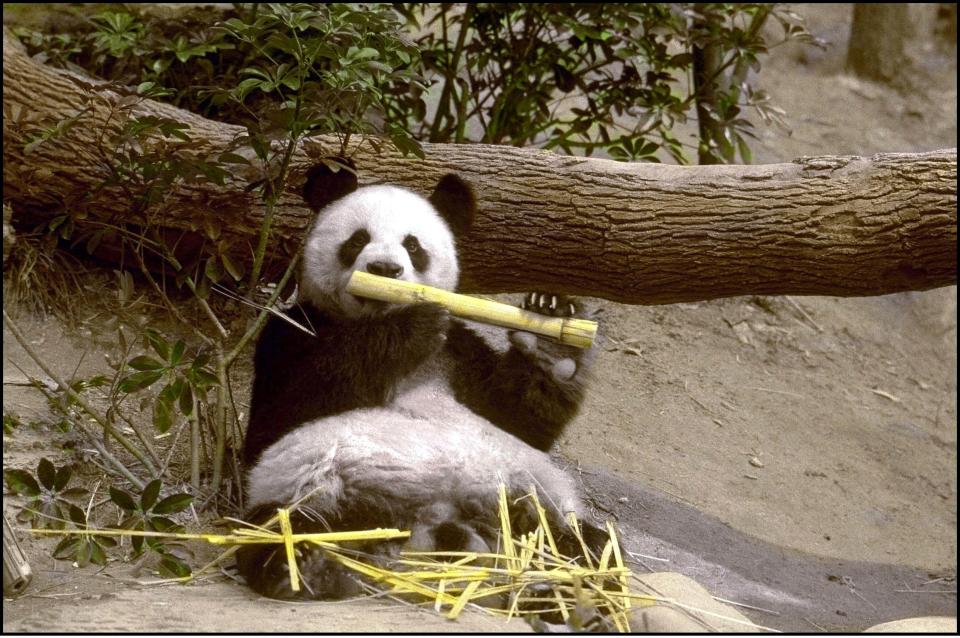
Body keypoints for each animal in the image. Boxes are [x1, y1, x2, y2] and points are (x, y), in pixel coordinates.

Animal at [236, 160, 604, 604]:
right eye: (358, 239)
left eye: (413, 246)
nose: (385, 270)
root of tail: (429, 528)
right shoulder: (289, 335)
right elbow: (281, 415)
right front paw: (410, 323)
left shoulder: (460, 353)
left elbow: (523, 422)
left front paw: (551, 338)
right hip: (311, 486)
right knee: (280, 524)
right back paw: (303, 565)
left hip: (529, 496)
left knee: (584, 541)